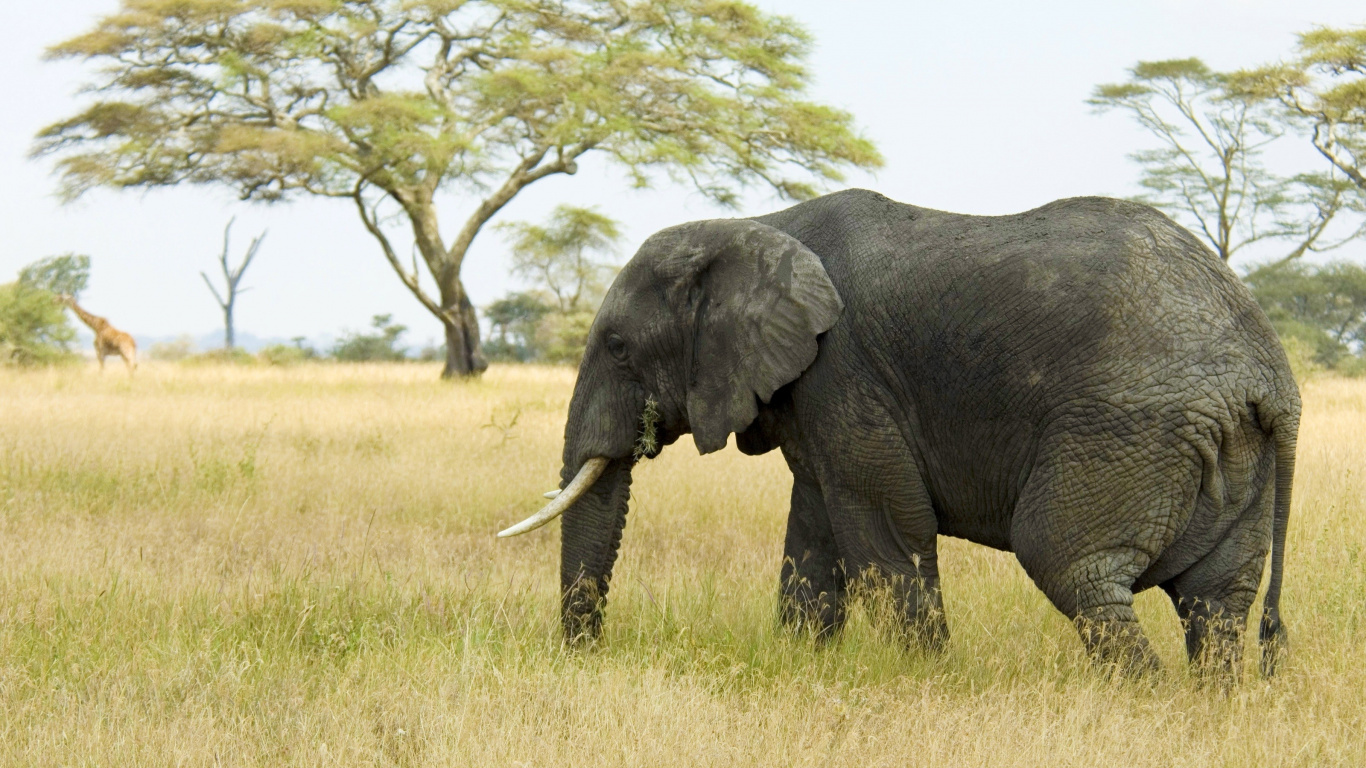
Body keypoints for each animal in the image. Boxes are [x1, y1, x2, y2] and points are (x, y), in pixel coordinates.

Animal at [499, 189, 1300, 677]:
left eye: (619, 347)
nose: (585, 656)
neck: (756, 226)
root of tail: (1270, 374)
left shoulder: (844, 370)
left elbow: (886, 526)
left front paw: (928, 678)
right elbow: (815, 531)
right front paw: (804, 667)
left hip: (1128, 427)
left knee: (1071, 564)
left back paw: (1143, 701)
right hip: (1230, 450)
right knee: (1215, 602)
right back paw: (1206, 707)